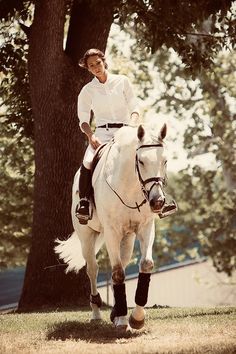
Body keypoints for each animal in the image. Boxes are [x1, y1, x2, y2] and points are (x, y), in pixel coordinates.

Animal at [54, 122, 168, 332]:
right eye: (141, 161)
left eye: (164, 161)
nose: (157, 202)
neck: (130, 187)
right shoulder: (112, 232)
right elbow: (116, 272)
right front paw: (123, 319)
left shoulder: (145, 228)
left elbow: (145, 265)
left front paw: (136, 318)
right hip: (87, 237)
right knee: (92, 268)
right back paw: (96, 313)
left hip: (128, 237)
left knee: (122, 261)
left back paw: (114, 312)